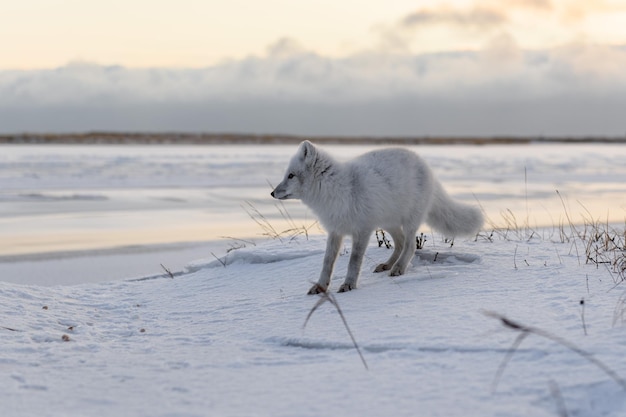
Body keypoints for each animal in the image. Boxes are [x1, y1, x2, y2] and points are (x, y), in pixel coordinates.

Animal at [270, 141, 482, 294]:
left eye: (291, 176)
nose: (272, 193)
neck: (337, 189)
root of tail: (425, 164)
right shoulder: (335, 231)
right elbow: (327, 263)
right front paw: (321, 287)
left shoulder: (362, 230)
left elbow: (354, 261)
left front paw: (349, 285)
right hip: (387, 222)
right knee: (400, 242)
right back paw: (388, 265)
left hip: (409, 221)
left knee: (410, 245)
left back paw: (398, 268)